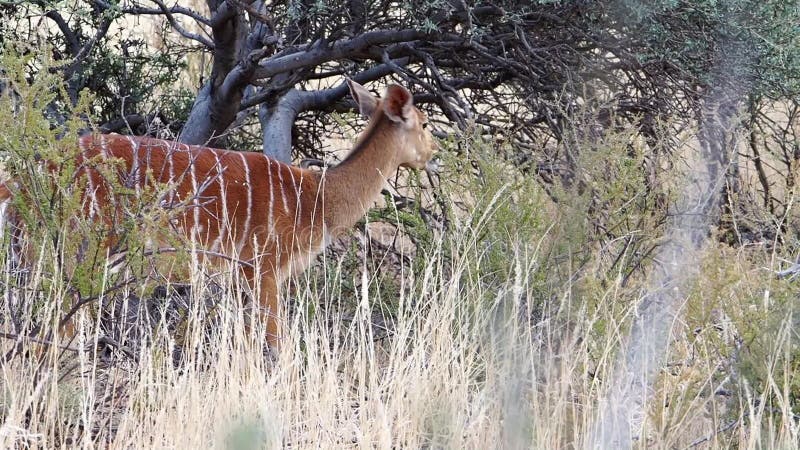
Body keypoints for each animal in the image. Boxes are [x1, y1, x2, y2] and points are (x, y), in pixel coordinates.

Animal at [0, 80, 438, 348]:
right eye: (424, 122)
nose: (434, 154)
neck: (316, 199)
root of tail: (23, 179)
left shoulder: (239, 278)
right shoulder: (262, 266)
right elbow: (276, 344)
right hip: (77, 252)